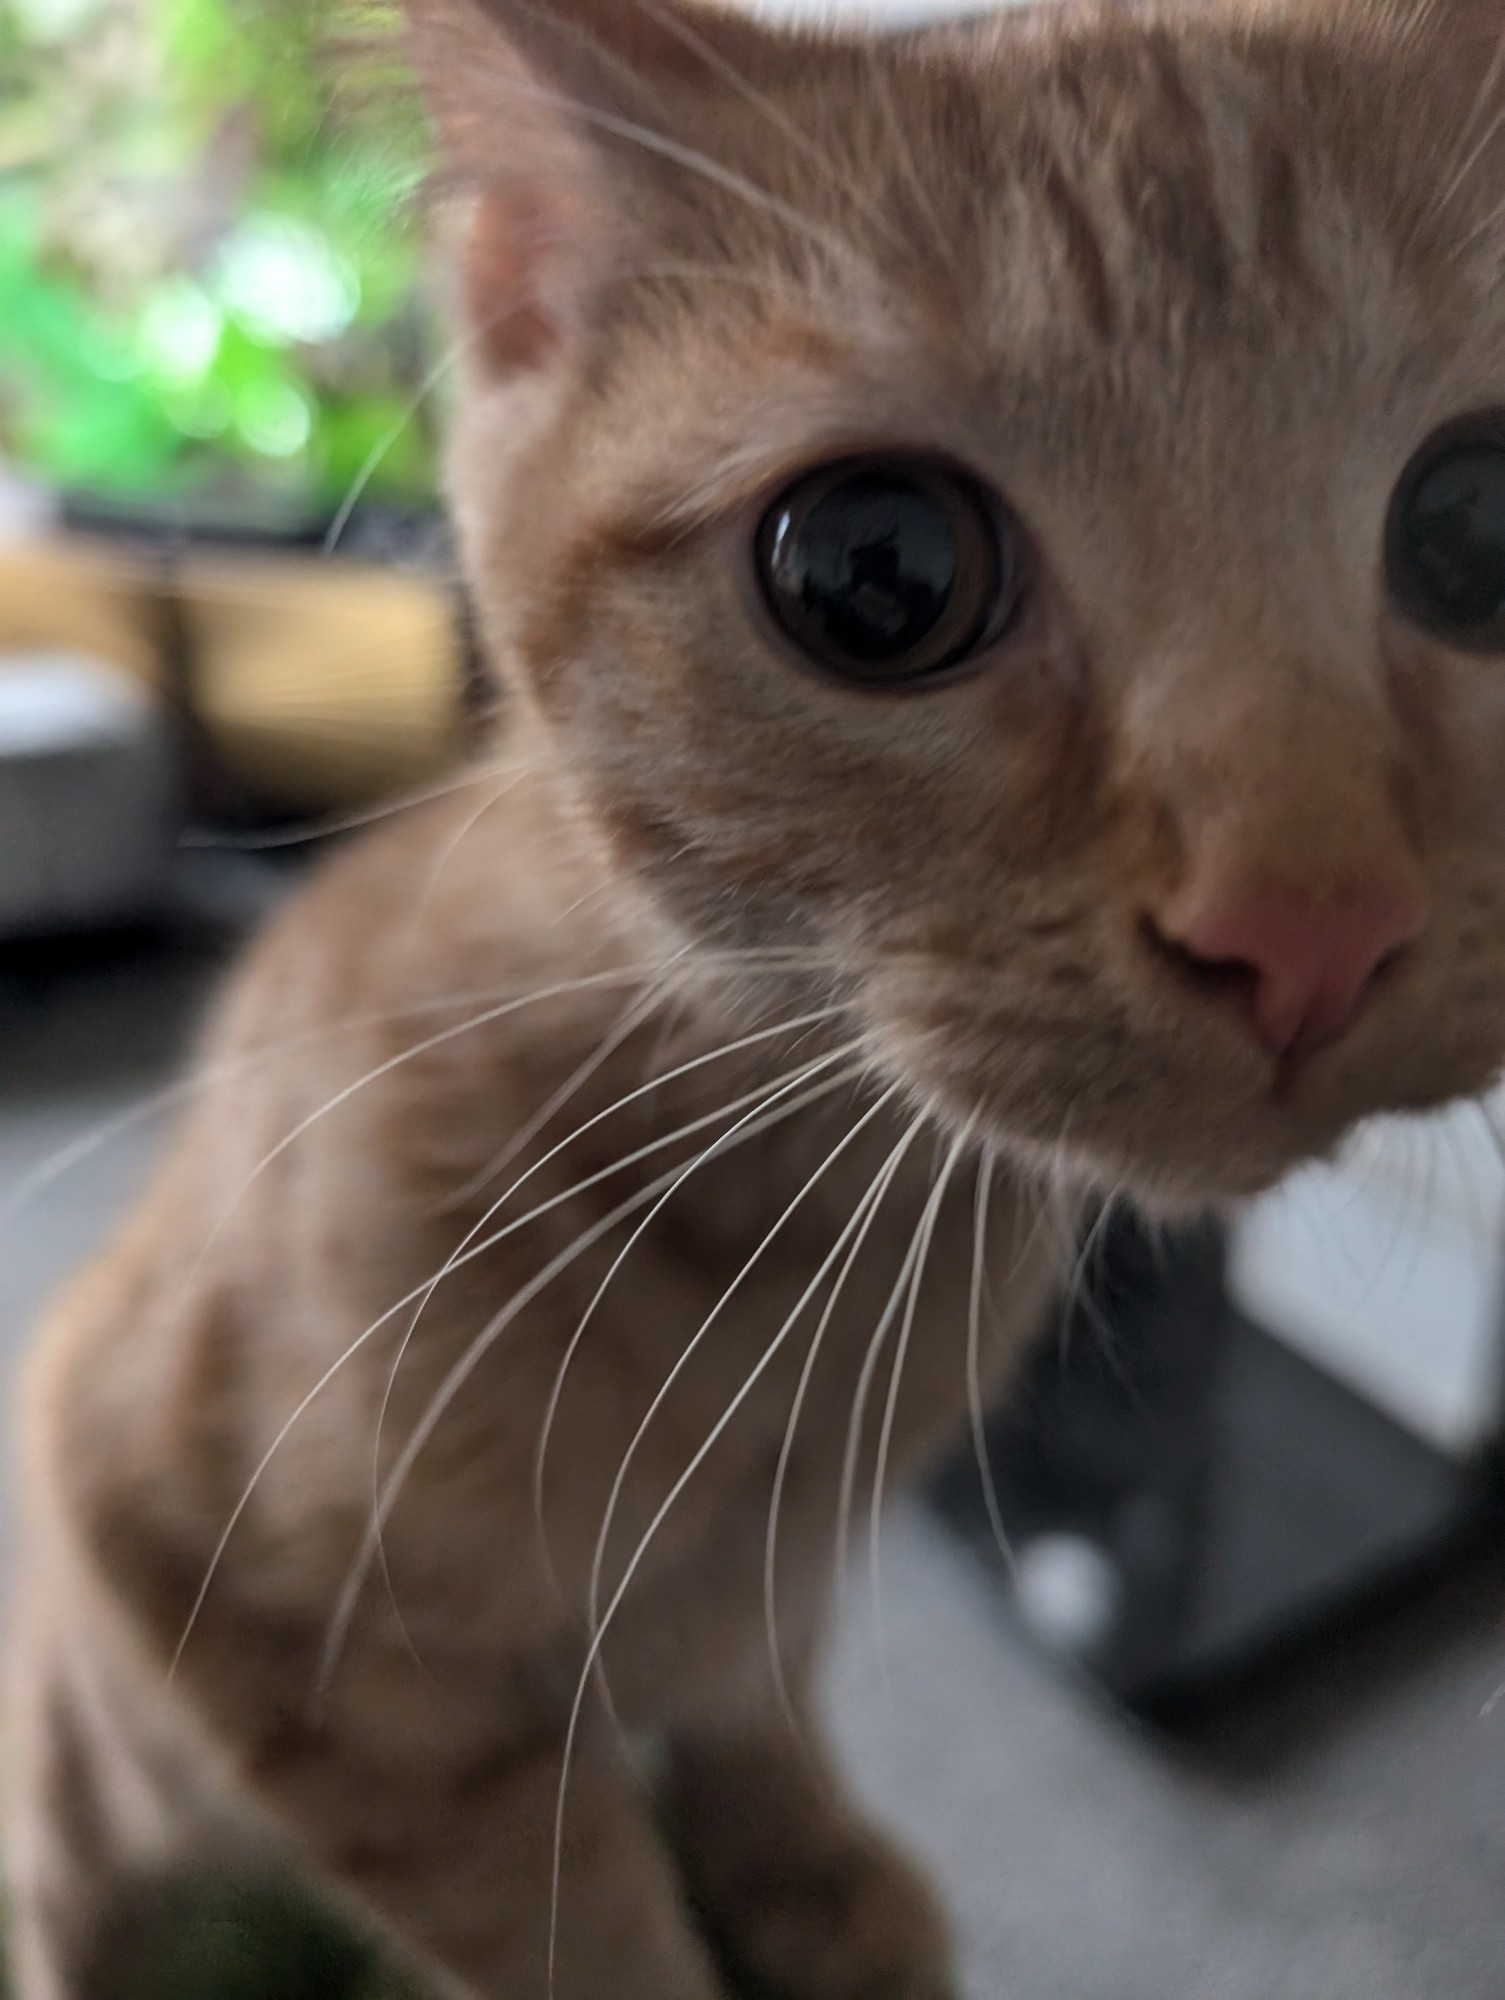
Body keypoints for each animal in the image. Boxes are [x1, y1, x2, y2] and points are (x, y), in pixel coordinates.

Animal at [11, 3, 1505, 2000]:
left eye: (1486, 524)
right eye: (877, 570)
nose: (1307, 921)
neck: (784, 1251)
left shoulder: (777, 1579)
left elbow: (752, 1686)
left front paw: (804, 1865)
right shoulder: (244, 1604)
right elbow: (574, 1922)